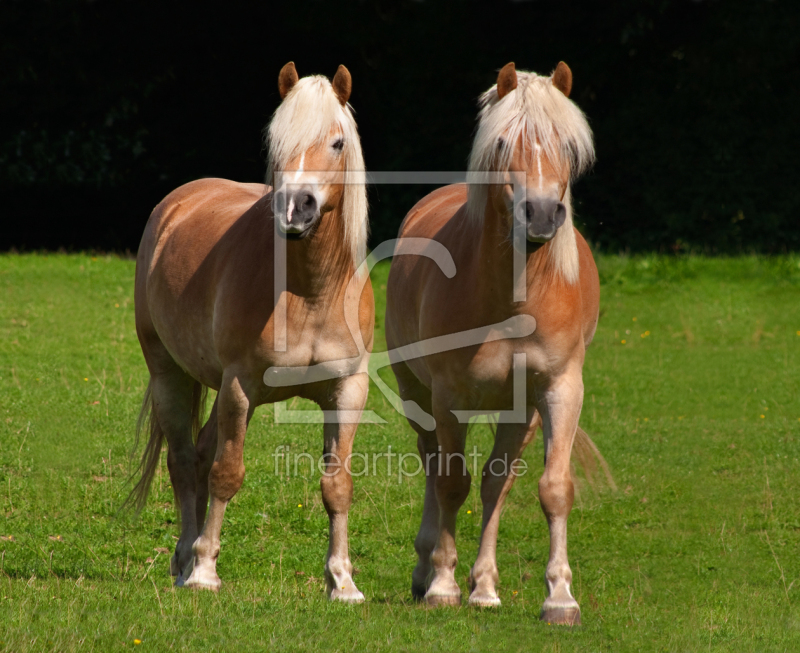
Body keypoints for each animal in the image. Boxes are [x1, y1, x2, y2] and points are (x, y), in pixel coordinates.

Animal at [130, 61, 372, 600]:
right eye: (276, 142)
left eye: (337, 142)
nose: (296, 208)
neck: (310, 293)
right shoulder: (240, 387)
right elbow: (227, 474)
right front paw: (204, 571)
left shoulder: (348, 390)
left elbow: (338, 485)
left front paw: (343, 581)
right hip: (170, 375)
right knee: (184, 461)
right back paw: (185, 558)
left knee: (199, 454)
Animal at [386, 59, 600, 620]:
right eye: (504, 143)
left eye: (567, 145)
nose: (542, 214)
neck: (514, 300)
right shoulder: (448, 397)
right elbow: (450, 482)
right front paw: (442, 584)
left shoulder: (559, 390)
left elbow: (550, 488)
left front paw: (559, 597)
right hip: (417, 395)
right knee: (432, 464)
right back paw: (427, 571)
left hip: (518, 413)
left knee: (495, 483)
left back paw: (484, 586)